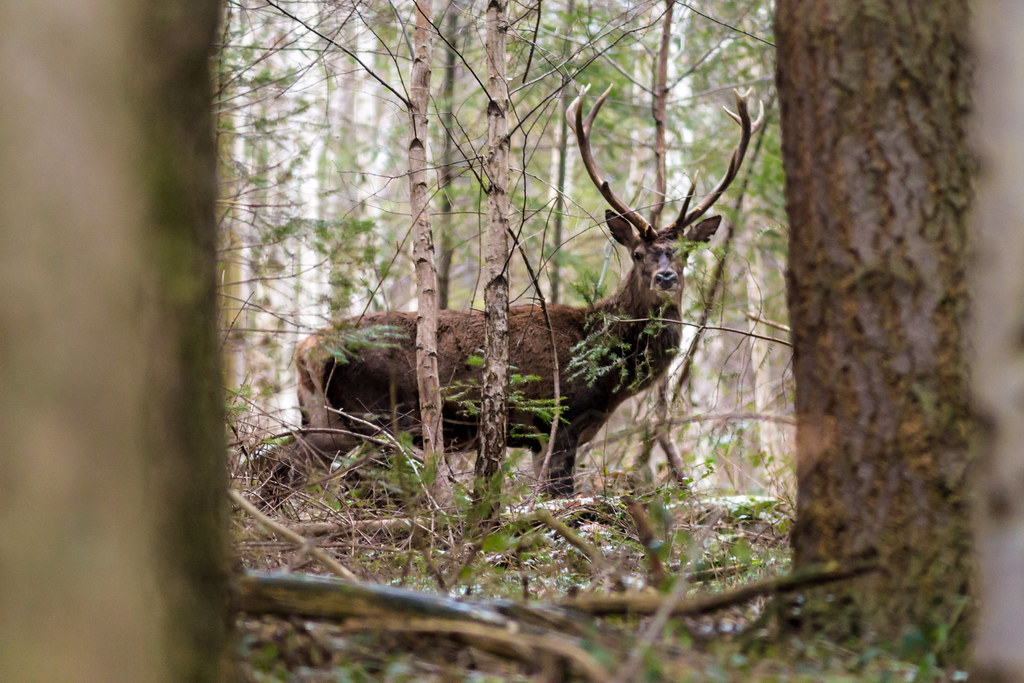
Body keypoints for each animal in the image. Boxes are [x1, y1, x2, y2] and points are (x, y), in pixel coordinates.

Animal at [291, 86, 763, 497]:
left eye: (684, 253)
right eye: (638, 253)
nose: (666, 277)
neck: (607, 373)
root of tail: (306, 349)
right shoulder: (560, 418)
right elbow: (559, 494)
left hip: (323, 419)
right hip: (376, 417)